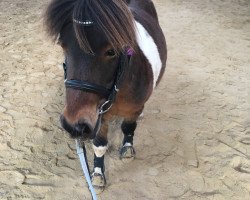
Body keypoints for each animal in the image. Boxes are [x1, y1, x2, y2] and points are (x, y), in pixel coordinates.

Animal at [45, 0, 166, 191]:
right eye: (63, 46)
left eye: (111, 51)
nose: (75, 125)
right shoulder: (98, 116)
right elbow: (99, 145)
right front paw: (97, 175)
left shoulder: (132, 110)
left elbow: (128, 128)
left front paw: (127, 149)